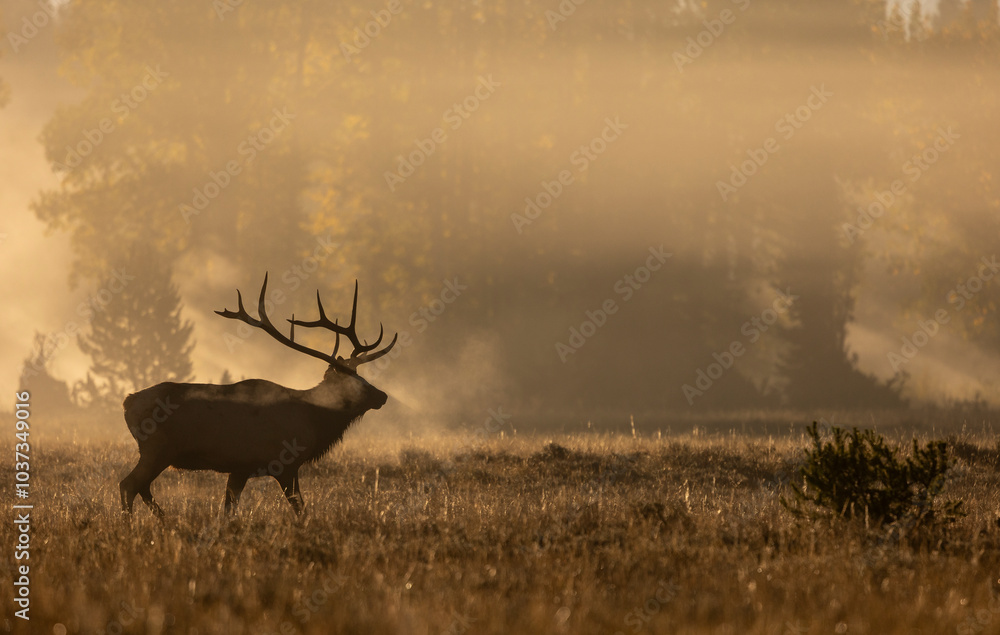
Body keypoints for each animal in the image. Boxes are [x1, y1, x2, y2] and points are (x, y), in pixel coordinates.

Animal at [119, 273, 396, 516]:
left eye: (362, 376)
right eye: (355, 383)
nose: (383, 396)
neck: (311, 419)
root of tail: (127, 401)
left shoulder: (240, 468)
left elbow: (228, 510)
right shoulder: (282, 463)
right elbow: (300, 510)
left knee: (141, 487)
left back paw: (165, 520)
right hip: (156, 449)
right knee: (128, 485)